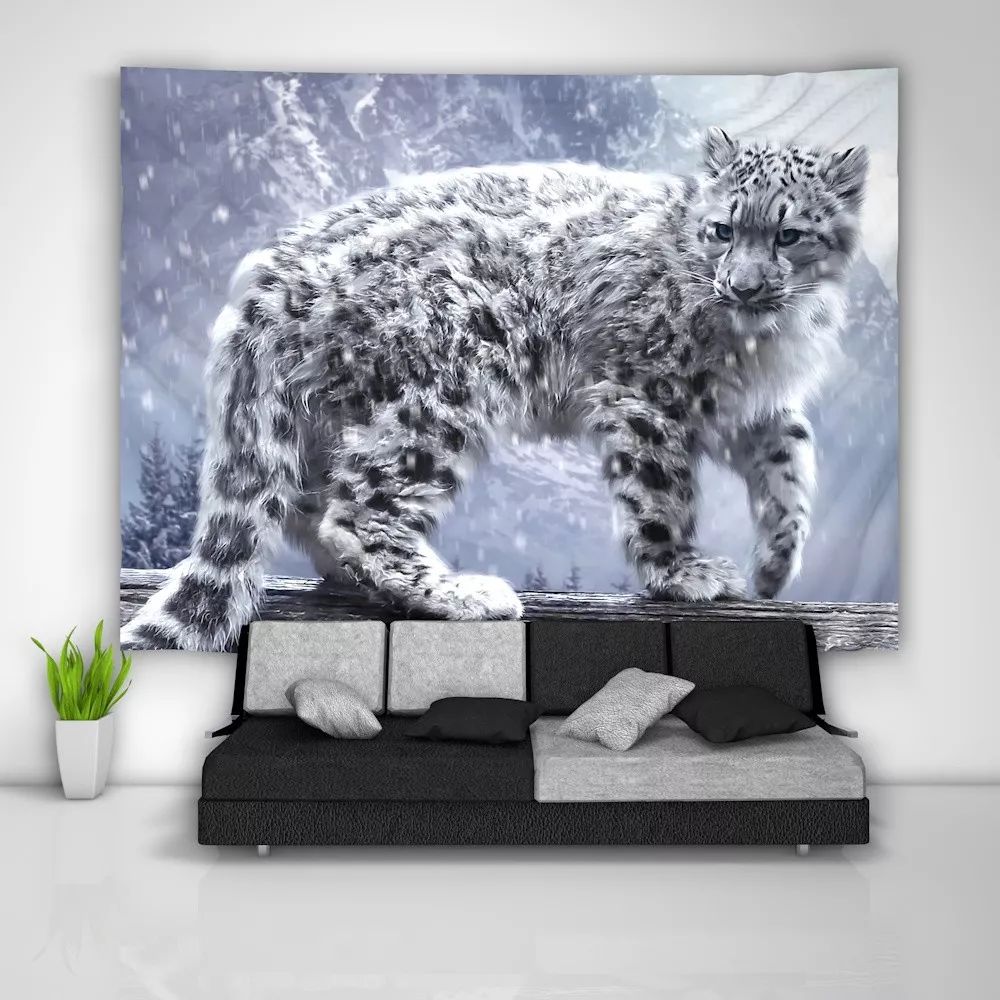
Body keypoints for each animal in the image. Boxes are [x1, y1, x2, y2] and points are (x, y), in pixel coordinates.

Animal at [121, 127, 868, 651]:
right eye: (722, 229)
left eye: (789, 234)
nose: (742, 285)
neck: (766, 338)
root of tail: (270, 280)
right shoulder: (647, 394)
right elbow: (662, 492)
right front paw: (683, 574)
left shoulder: (753, 406)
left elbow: (791, 458)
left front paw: (776, 564)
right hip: (437, 396)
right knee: (356, 509)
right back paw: (462, 593)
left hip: (327, 414)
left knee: (308, 503)